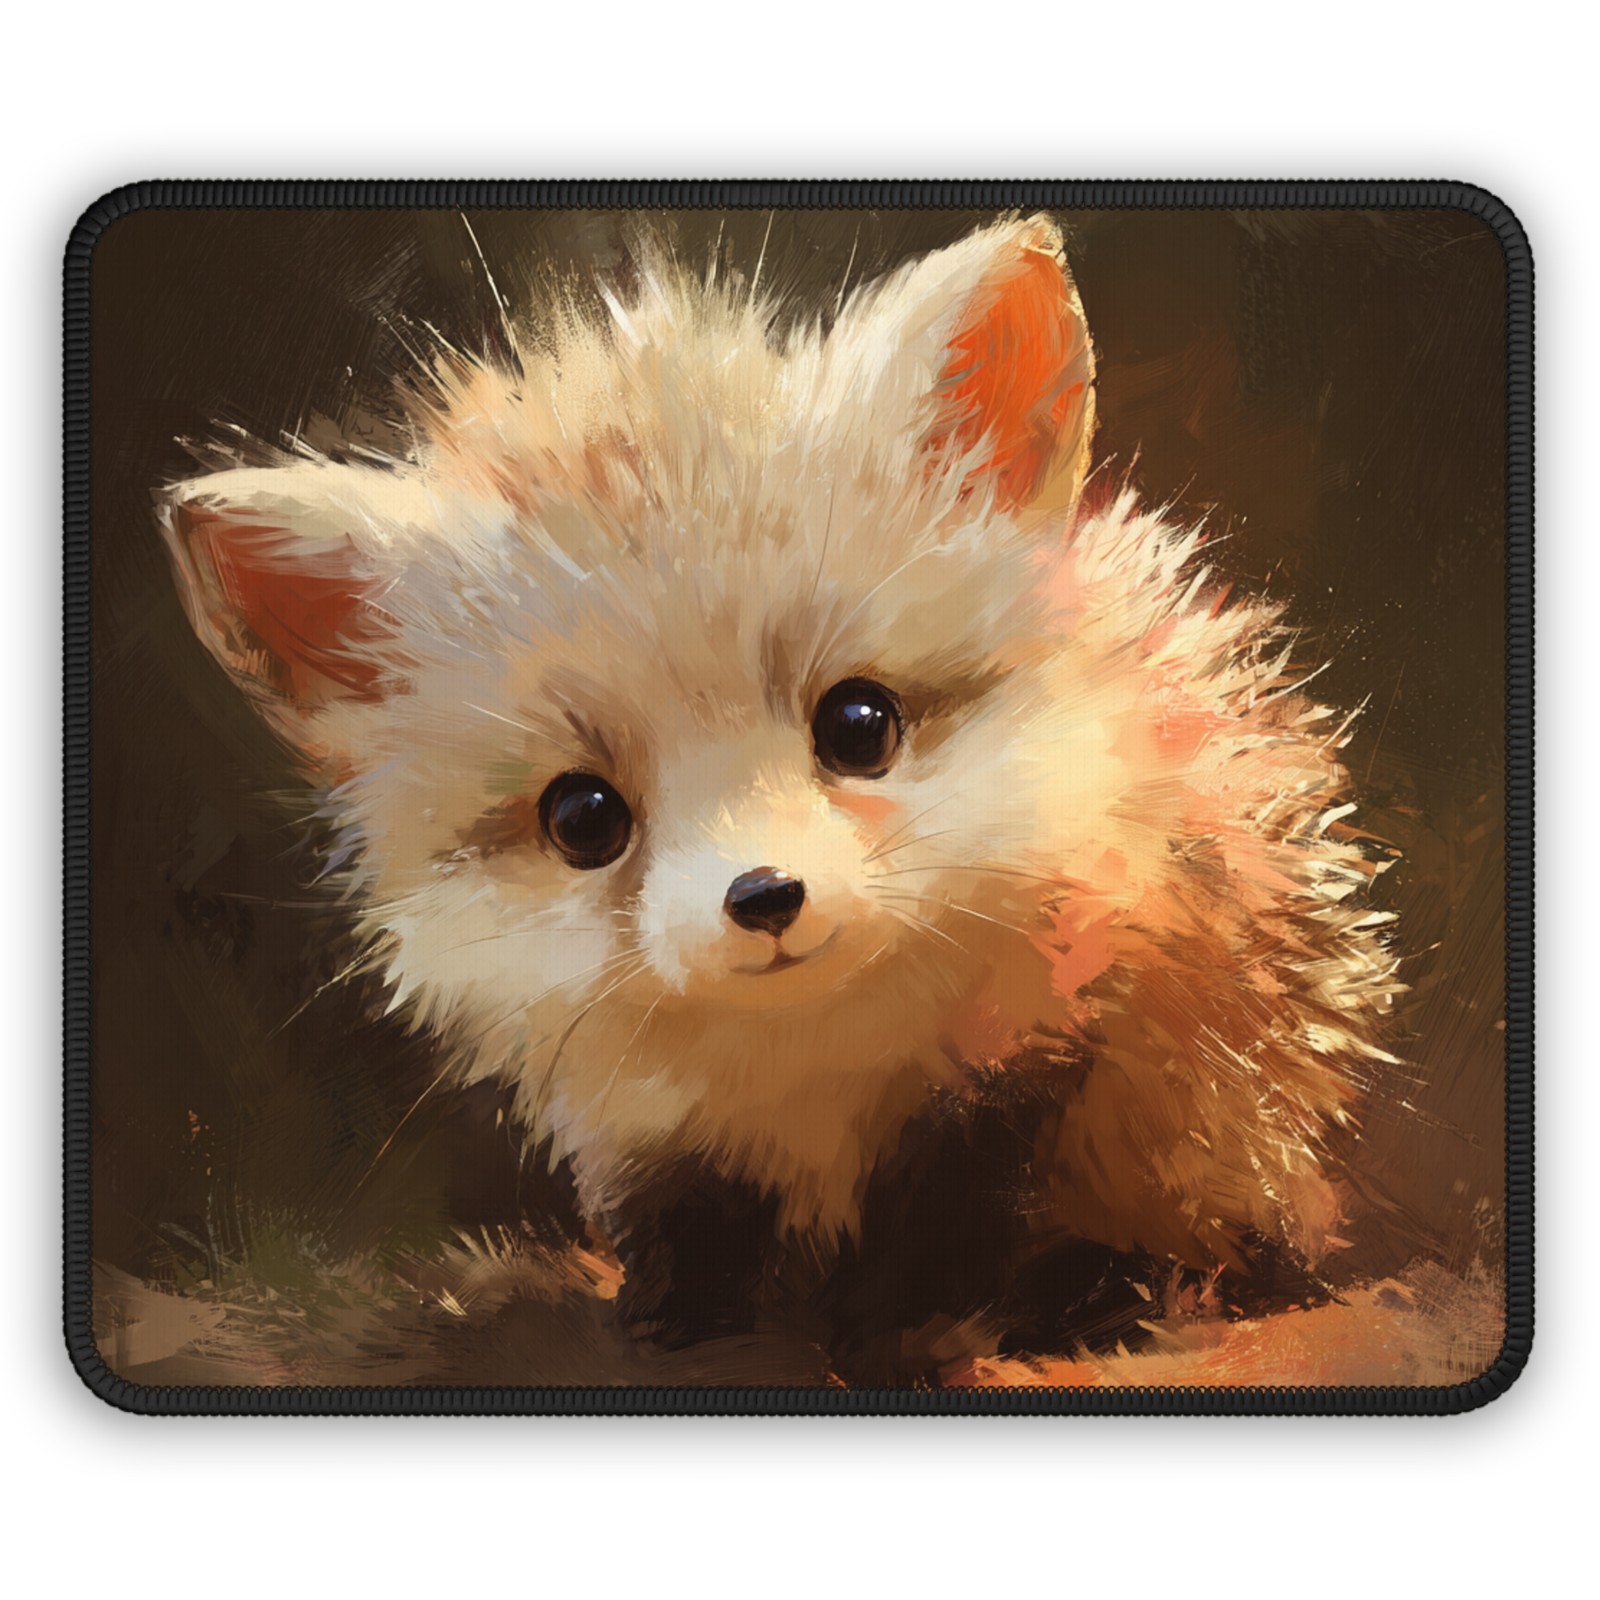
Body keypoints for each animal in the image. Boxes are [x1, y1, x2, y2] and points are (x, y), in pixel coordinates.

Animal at [160, 213, 1401, 1375]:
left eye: (859, 724)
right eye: (582, 818)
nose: (762, 897)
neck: (812, 1081)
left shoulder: (1046, 1061)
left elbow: (955, 1236)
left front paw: (923, 1329)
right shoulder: (658, 1147)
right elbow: (693, 1254)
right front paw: (678, 1325)